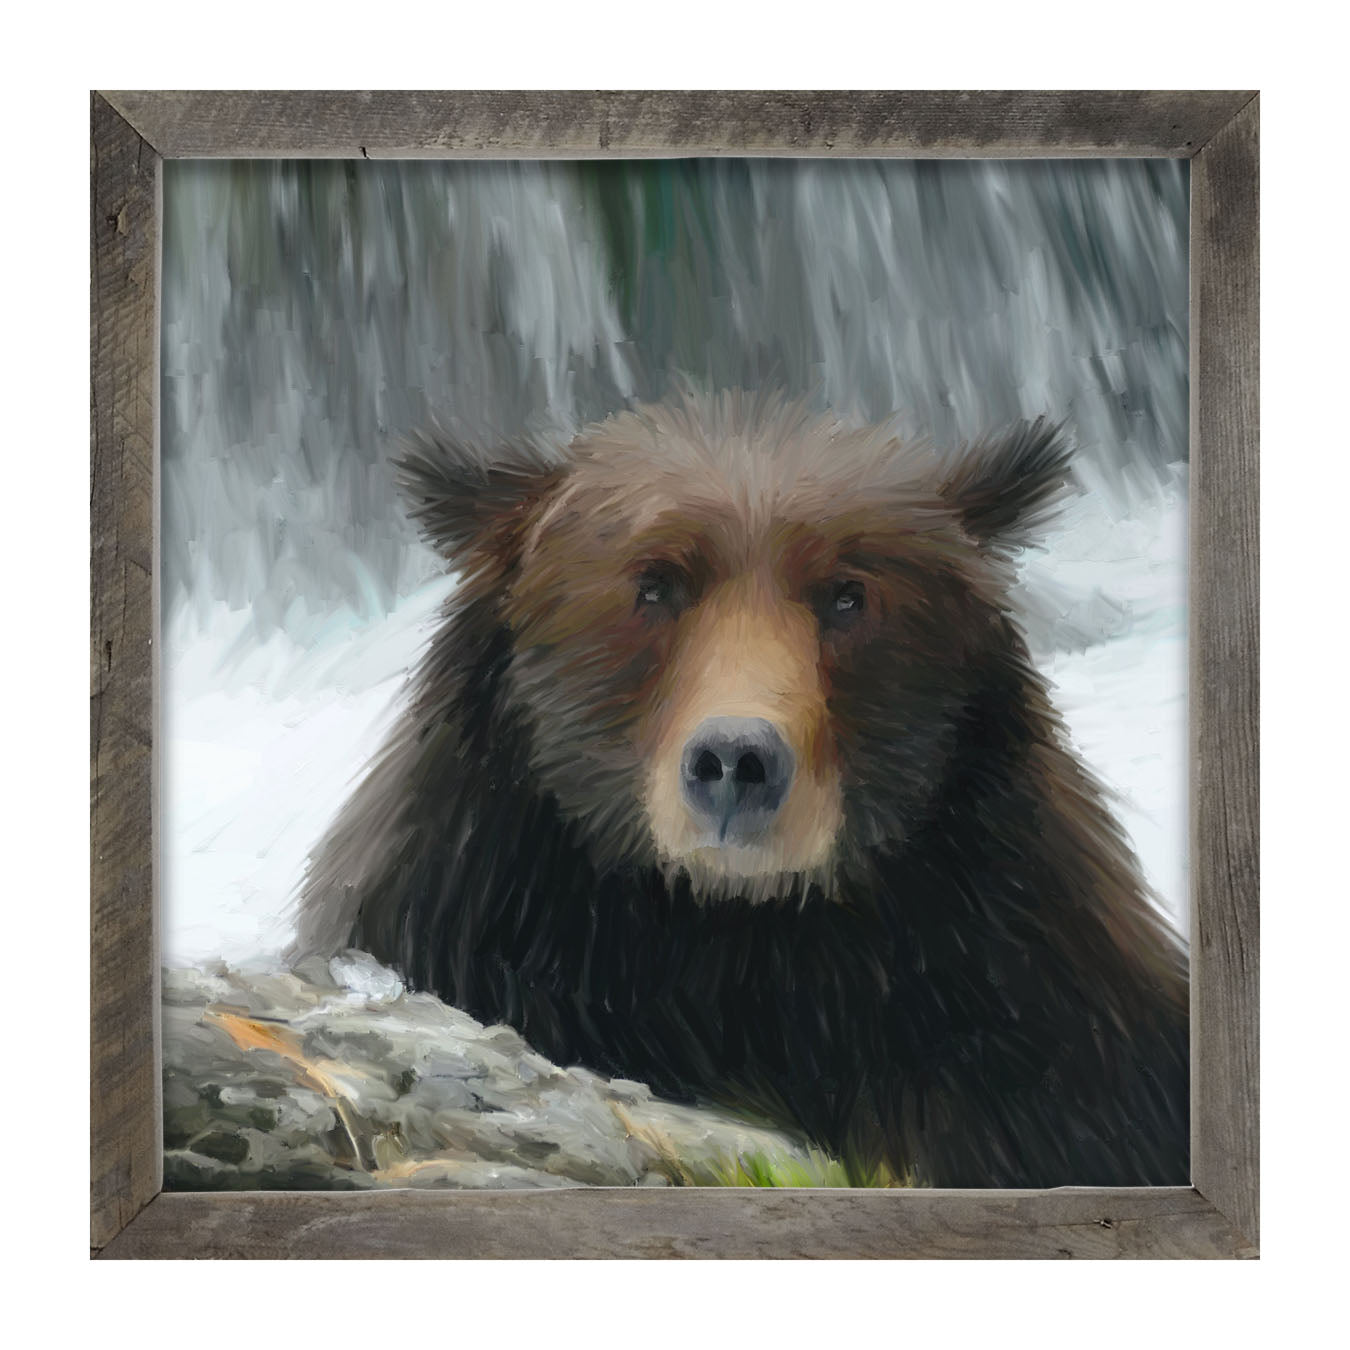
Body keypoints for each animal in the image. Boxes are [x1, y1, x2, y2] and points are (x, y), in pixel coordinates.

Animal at [294, 390, 1189, 1188]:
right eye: (654, 583)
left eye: (847, 594)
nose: (735, 761)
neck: (734, 941)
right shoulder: (473, 917)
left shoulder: (1030, 1008)